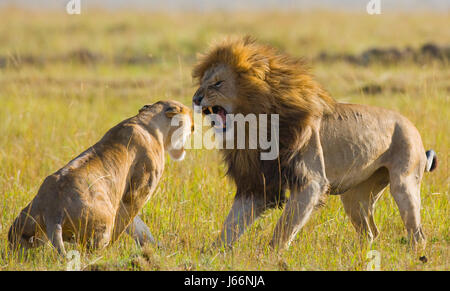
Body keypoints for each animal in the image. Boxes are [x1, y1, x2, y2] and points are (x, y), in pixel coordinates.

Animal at [8, 101, 192, 256]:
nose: (194, 129)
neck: (147, 122)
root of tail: (53, 212)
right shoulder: (136, 193)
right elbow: (127, 222)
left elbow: (139, 227)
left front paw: (157, 248)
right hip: (102, 225)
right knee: (93, 250)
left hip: (21, 224)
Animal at [192, 37, 436, 251]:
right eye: (202, 84)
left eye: (217, 83)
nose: (195, 99)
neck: (255, 127)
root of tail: (413, 127)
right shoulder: (257, 182)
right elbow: (231, 224)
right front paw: (212, 253)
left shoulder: (311, 181)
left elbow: (284, 228)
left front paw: (270, 256)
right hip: (355, 197)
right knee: (371, 232)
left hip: (403, 182)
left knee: (417, 233)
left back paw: (413, 254)